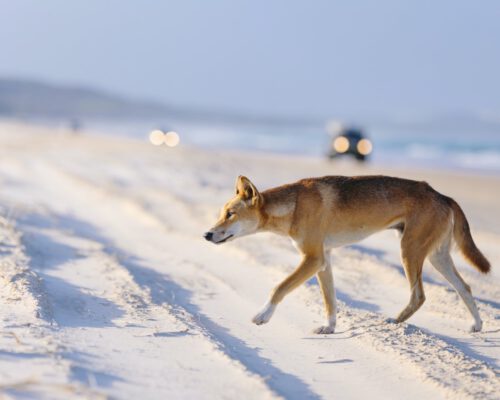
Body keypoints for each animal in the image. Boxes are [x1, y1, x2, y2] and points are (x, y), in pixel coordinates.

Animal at [203, 175, 488, 334]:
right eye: (221, 213)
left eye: (230, 214)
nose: (206, 234)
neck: (293, 207)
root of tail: (443, 195)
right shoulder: (323, 260)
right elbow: (329, 300)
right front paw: (329, 327)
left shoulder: (313, 259)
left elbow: (279, 287)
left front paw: (263, 315)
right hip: (436, 256)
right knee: (465, 287)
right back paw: (477, 325)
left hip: (410, 249)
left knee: (419, 295)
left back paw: (395, 321)